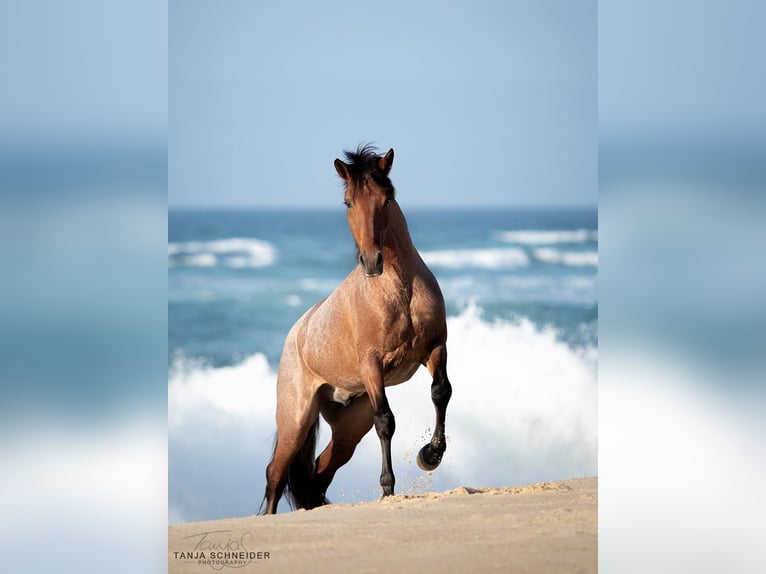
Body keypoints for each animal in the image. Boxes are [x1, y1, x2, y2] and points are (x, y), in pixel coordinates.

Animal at [266, 146, 456, 516]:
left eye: (387, 198)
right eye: (348, 202)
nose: (371, 261)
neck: (400, 290)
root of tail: (297, 332)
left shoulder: (435, 348)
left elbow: (441, 392)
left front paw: (431, 455)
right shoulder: (372, 367)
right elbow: (386, 421)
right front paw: (387, 489)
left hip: (348, 427)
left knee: (320, 470)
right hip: (295, 421)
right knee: (275, 474)